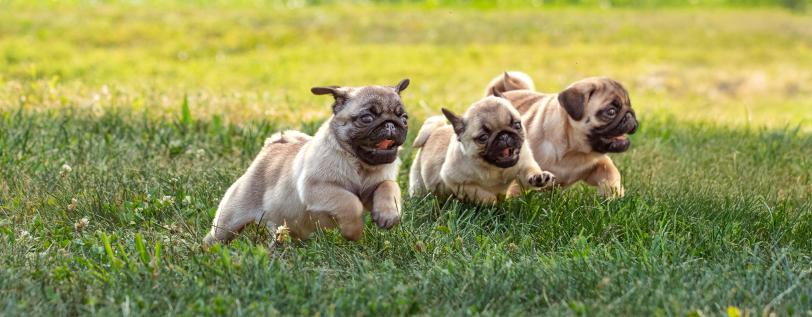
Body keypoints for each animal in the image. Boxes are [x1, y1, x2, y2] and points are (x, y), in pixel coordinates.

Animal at [201, 78, 410, 244]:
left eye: (404, 118)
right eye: (367, 118)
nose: (391, 124)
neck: (359, 164)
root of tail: (275, 144)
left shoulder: (371, 190)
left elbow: (388, 185)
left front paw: (388, 214)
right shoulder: (317, 188)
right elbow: (350, 202)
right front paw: (353, 231)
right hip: (230, 219)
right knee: (217, 235)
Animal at [410, 90, 556, 204]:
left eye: (517, 125)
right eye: (483, 138)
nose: (504, 135)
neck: (497, 169)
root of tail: (433, 132)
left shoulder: (524, 164)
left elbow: (530, 172)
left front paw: (538, 177)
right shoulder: (458, 182)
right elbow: (482, 195)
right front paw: (494, 203)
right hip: (419, 183)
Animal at [482, 71, 640, 198]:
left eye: (630, 105)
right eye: (611, 111)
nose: (630, 115)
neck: (572, 150)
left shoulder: (598, 163)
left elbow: (611, 172)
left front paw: (614, 195)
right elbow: (518, 188)